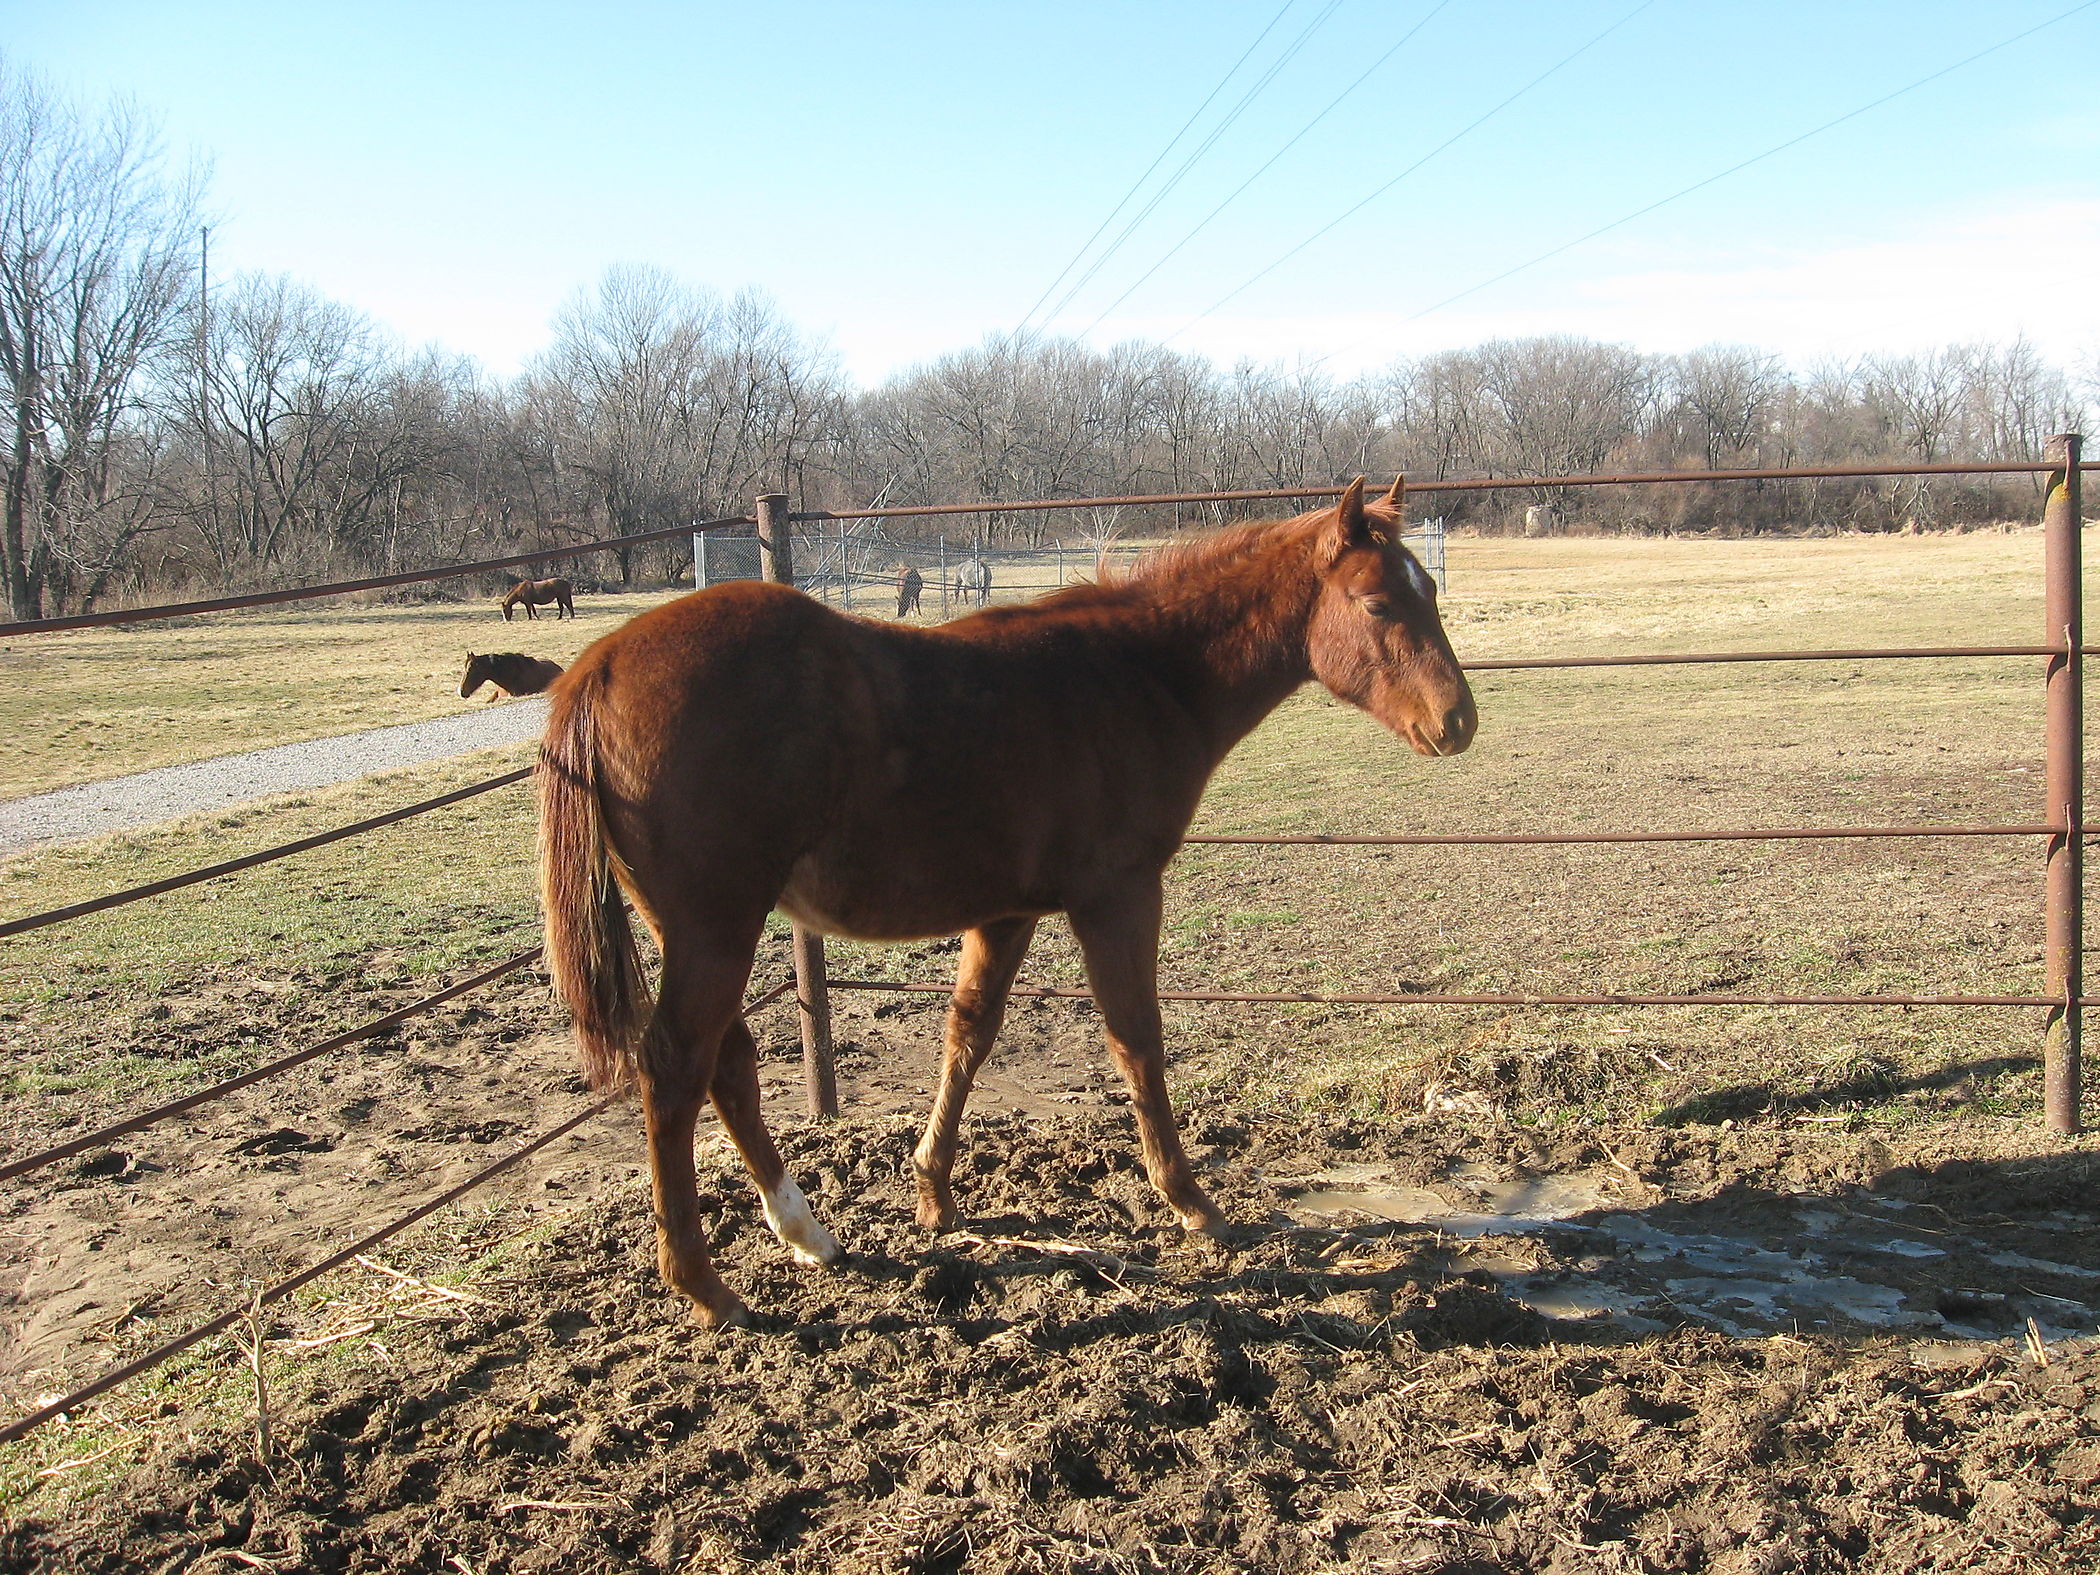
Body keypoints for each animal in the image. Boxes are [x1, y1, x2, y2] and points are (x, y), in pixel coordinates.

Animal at [537, 476, 1473, 1328]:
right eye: (1378, 601)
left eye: (1427, 589)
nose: (1457, 722)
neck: (1136, 678)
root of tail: (597, 667)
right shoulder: (1116, 895)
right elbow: (1138, 1041)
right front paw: (1189, 1200)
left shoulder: (1008, 910)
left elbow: (969, 1033)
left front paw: (933, 1195)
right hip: (715, 929)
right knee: (675, 1069)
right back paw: (706, 1285)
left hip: (695, 930)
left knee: (725, 1064)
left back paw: (808, 1233)